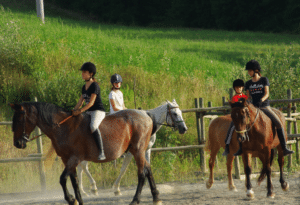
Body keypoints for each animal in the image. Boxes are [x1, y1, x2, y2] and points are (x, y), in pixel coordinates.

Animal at [10, 102, 188, 205]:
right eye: (175, 113)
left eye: (19, 118)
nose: (17, 143)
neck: (63, 128)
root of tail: (145, 114)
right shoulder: (68, 160)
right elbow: (73, 181)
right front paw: (78, 199)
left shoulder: (73, 159)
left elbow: (62, 179)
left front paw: (71, 199)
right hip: (139, 151)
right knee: (147, 170)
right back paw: (156, 198)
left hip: (138, 150)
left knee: (142, 173)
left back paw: (135, 200)